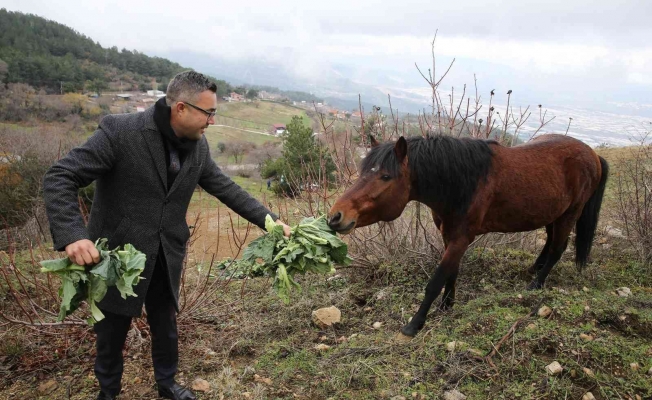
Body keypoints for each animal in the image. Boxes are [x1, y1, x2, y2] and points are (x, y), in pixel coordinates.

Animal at [328, 135, 608, 338]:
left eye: (385, 176)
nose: (335, 216)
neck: (462, 183)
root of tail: (593, 154)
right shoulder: (449, 235)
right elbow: (451, 272)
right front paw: (447, 304)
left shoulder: (461, 238)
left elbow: (436, 280)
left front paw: (415, 324)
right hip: (553, 213)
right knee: (550, 242)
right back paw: (534, 269)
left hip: (570, 213)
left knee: (558, 248)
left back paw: (536, 284)